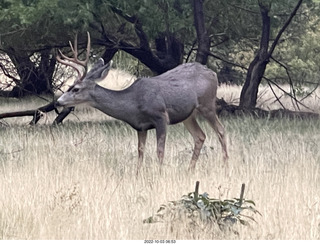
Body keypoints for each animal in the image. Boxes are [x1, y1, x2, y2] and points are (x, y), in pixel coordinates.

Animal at [56, 33, 229, 173]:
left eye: (76, 88)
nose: (58, 101)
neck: (133, 103)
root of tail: (213, 73)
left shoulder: (161, 116)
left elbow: (160, 151)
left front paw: (159, 175)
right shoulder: (140, 126)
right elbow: (140, 152)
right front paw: (138, 175)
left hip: (207, 104)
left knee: (221, 130)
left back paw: (225, 165)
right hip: (188, 115)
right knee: (200, 136)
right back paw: (189, 170)